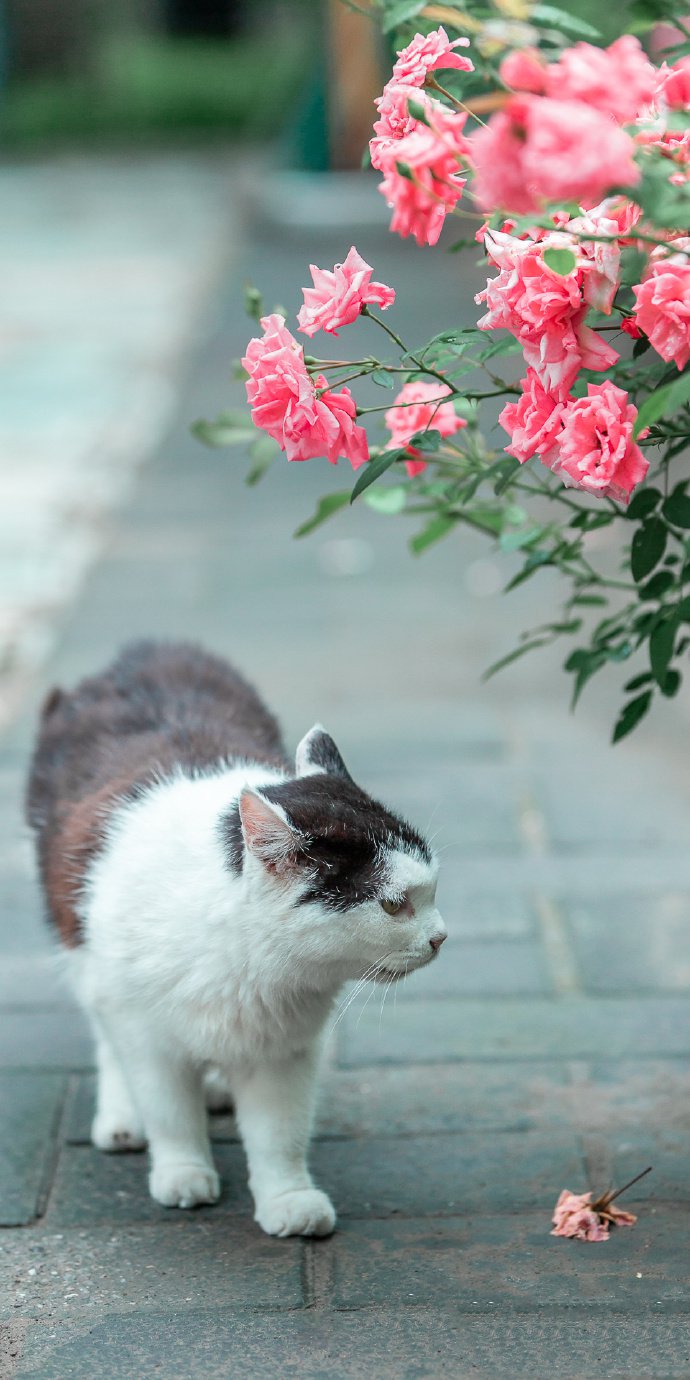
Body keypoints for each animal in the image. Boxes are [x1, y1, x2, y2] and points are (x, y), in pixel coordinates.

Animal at [25, 640, 447, 1236]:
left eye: (432, 890)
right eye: (393, 904)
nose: (440, 937)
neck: (251, 965)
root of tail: (142, 648)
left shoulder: (286, 1049)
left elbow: (279, 1133)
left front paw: (288, 1200)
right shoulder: (145, 1030)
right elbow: (168, 1109)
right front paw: (182, 1171)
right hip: (84, 945)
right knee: (106, 1031)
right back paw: (123, 1117)